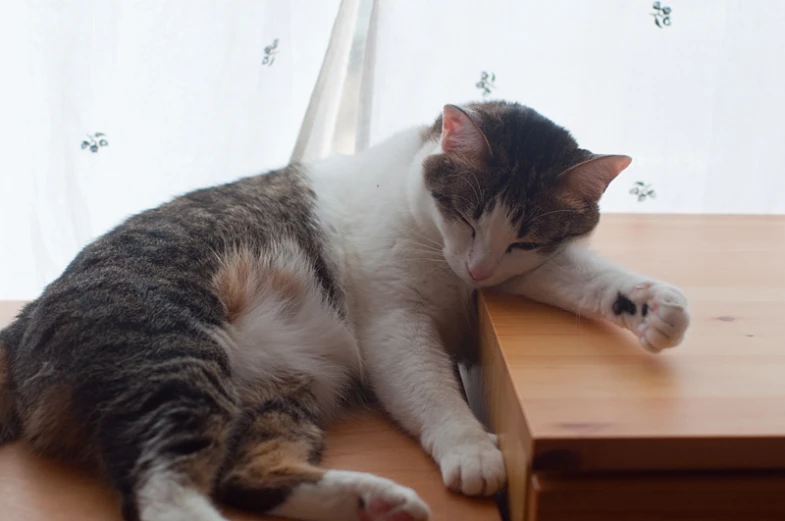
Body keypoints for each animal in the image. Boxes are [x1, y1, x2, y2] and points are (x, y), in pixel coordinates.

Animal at [0, 101, 688, 520]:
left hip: (275, 397)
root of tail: (26, 319)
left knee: (244, 476)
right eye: (467, 216)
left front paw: (654, 306)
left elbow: (581, 276)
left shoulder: (515, 277)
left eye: (524, 238)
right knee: (162, 495)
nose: (477, 268)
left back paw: (373, 500)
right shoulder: (393, 321)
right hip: (171, 357)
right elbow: (432, 388)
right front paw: (470, 446)